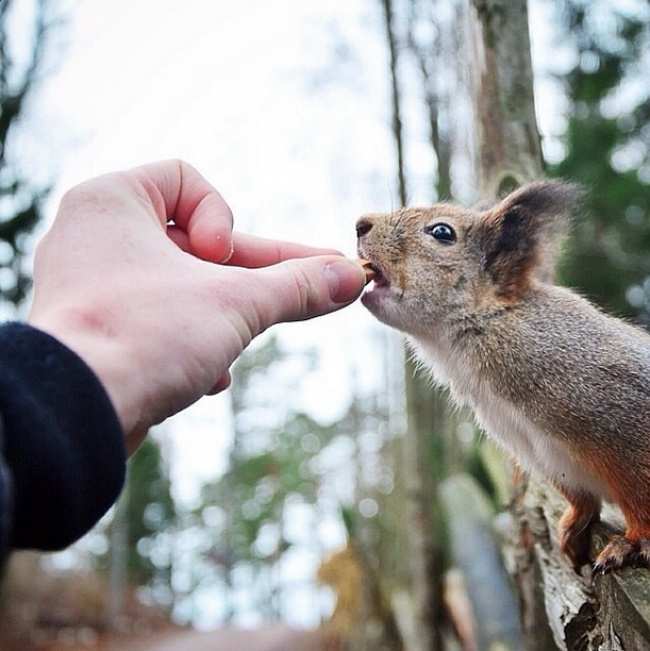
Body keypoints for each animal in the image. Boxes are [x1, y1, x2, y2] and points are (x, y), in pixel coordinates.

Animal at [354, 181, 648, 572]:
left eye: (442, 232)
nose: (360, 224)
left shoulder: (615, 407)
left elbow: (639, 487)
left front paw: (634, 542)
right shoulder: (535, 450)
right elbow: (578, 496)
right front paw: (573, 526)